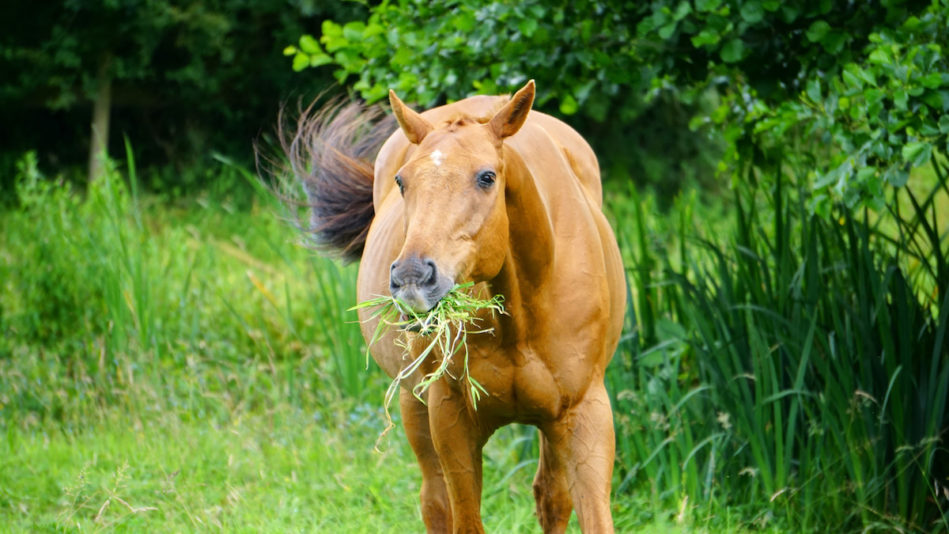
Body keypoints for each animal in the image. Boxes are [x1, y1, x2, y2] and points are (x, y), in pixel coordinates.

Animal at [285, 81, 626, 533]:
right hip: (414, 406)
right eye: (402, 181)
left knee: (551, 498)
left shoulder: (585, 415)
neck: (521, 317)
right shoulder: (452, 420)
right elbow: (463, 517)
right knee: (434, 502)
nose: (412, 277)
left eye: (487, 177)